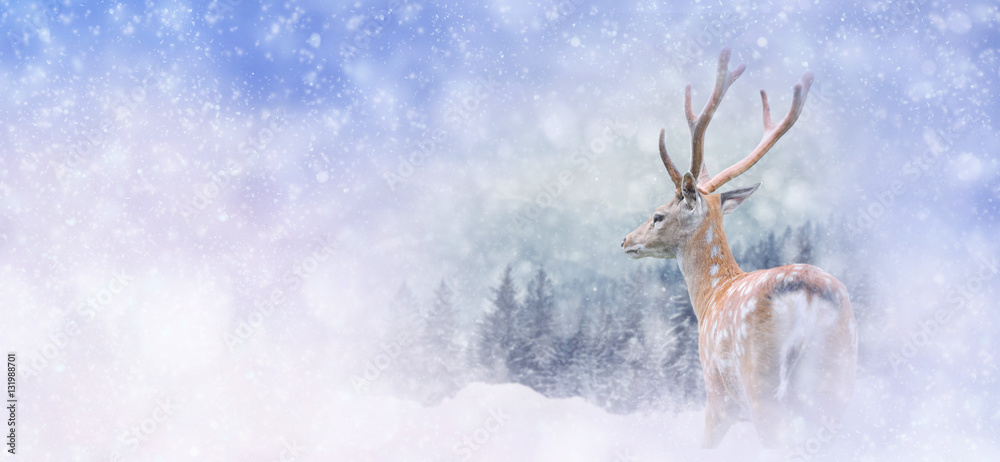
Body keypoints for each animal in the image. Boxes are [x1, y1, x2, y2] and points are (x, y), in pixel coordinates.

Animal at [621, 48, 857, 449]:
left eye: (657, 216)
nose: (625, 240)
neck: (711, 296)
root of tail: (809, 297)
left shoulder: (715, 394)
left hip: (760, 382)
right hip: (840, 378)